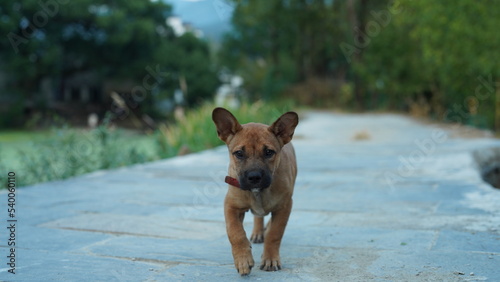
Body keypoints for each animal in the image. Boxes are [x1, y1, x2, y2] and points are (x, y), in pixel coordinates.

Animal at [210, 107, 296, 274]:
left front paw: (270, 259)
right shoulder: (231, 205)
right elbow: (235, 232)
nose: (254, 177)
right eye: (239, 153)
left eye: (269, 152)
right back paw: (257, 232)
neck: (258, 192)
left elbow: (275, 233)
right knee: (258, 217)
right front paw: (243, 259)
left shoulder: (284, 206)